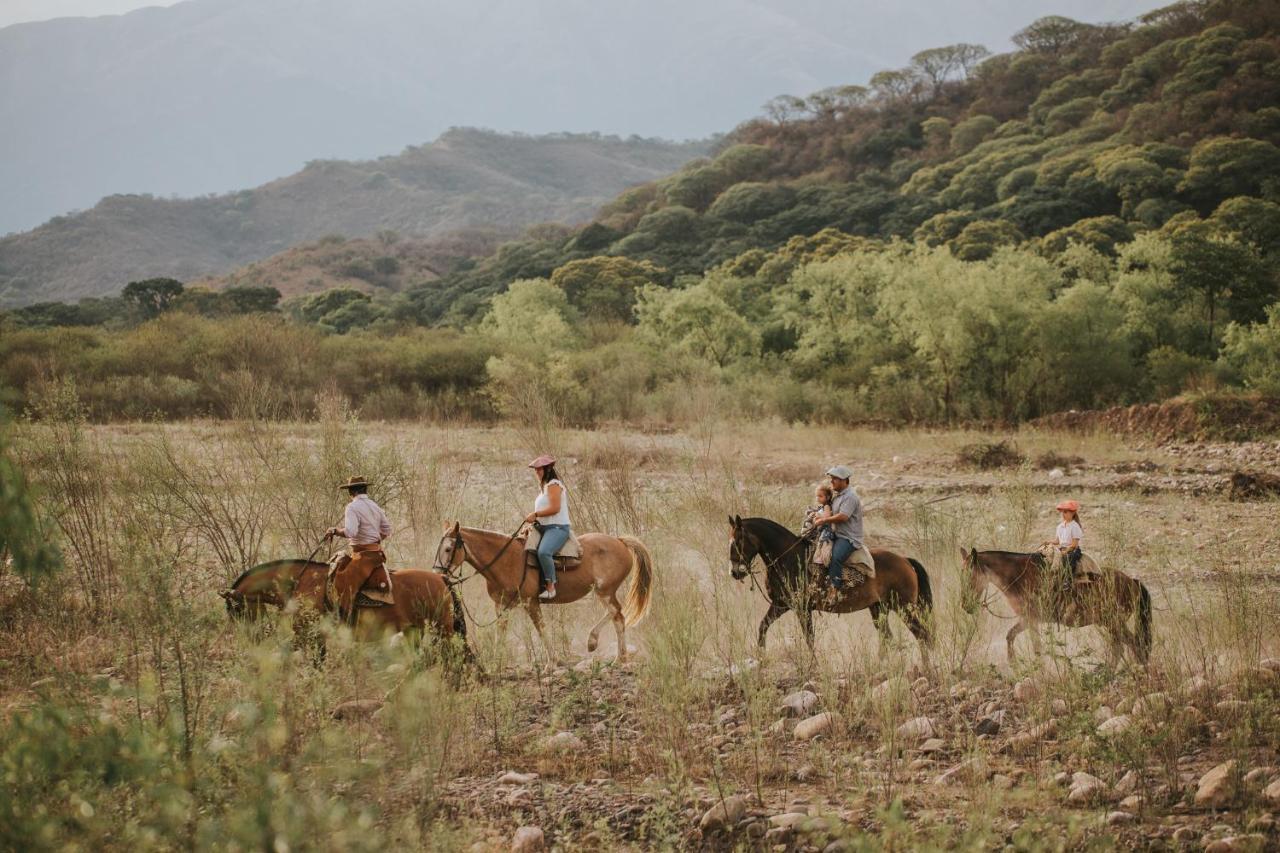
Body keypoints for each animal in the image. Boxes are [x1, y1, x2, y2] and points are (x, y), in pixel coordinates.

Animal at [220, 558, 471, 650]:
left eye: (236, 610)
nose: (249, 638)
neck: (300, 581)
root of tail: (440, 578)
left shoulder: (308, 635)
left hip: (442, 629)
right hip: (415, 631)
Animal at [435, 522, 655, 660]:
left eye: (448, 549)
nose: (438, 574)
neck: (506, 560)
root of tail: (620, 541)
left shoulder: (531, 602)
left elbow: (541, 629)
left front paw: (552, 661)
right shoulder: (502, 606)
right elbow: (501, 633)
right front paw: (497, 661)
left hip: (605, 591)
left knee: (617, 615)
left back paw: (610, 651)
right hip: (605, 592)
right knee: (616, 615)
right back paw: (605, 649)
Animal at [727, 514, 936, 653]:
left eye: (737, 541)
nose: (735, 572)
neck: (789, 558)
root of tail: (905, 560)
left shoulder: (802, 608)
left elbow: (809, 638)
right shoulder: (780, 605)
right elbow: (763, 627)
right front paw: (761, 657)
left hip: (903, 607)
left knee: (922, 635)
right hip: (879, 608)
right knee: (888, 639)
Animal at [962, 545, 1152, 666]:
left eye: (970, 575)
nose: (965, 606)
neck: (1019, 576)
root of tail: (1132, 582)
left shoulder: (1031, 619)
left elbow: (1036, 647)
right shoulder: (1027, 619)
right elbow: (1010, 635)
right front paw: (1013, 663)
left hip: (1113, 622)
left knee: (1131, 644)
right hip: (1111, 623)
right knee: (1123, 646)